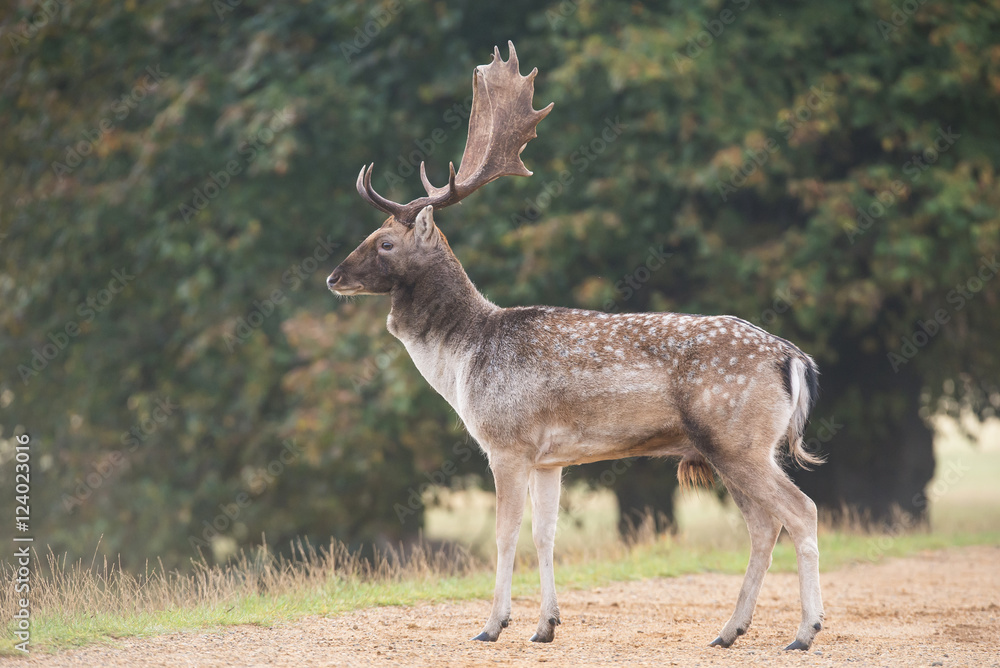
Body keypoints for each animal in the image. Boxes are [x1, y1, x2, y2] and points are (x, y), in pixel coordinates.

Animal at [324, 40, 824, 648]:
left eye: (385, 243)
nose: (333, 277)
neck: (464, 359)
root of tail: (792, 357)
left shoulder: (507, 442)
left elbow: (506, 535)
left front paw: (491, 626)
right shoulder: (550, 458)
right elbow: (546, 535)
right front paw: (545, 625)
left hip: (737, 438)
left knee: (800, 510)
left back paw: (804, 631)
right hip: (737, 447)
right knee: (764, 524)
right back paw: (729, 631)